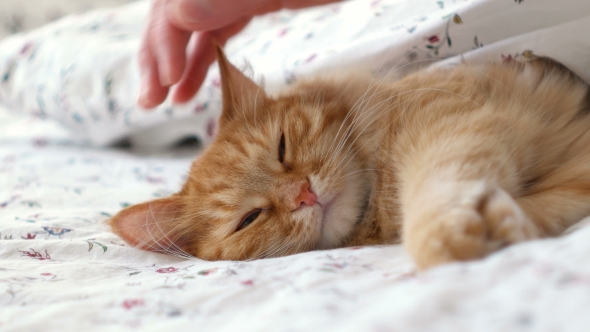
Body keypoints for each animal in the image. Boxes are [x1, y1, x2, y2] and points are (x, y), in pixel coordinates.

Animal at [111, 46, 590, 270]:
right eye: (249, 219)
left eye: (282, 147)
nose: (303, 195)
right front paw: (496, 228)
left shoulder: (448, 125)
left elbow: (439, 186)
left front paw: (449, 237)